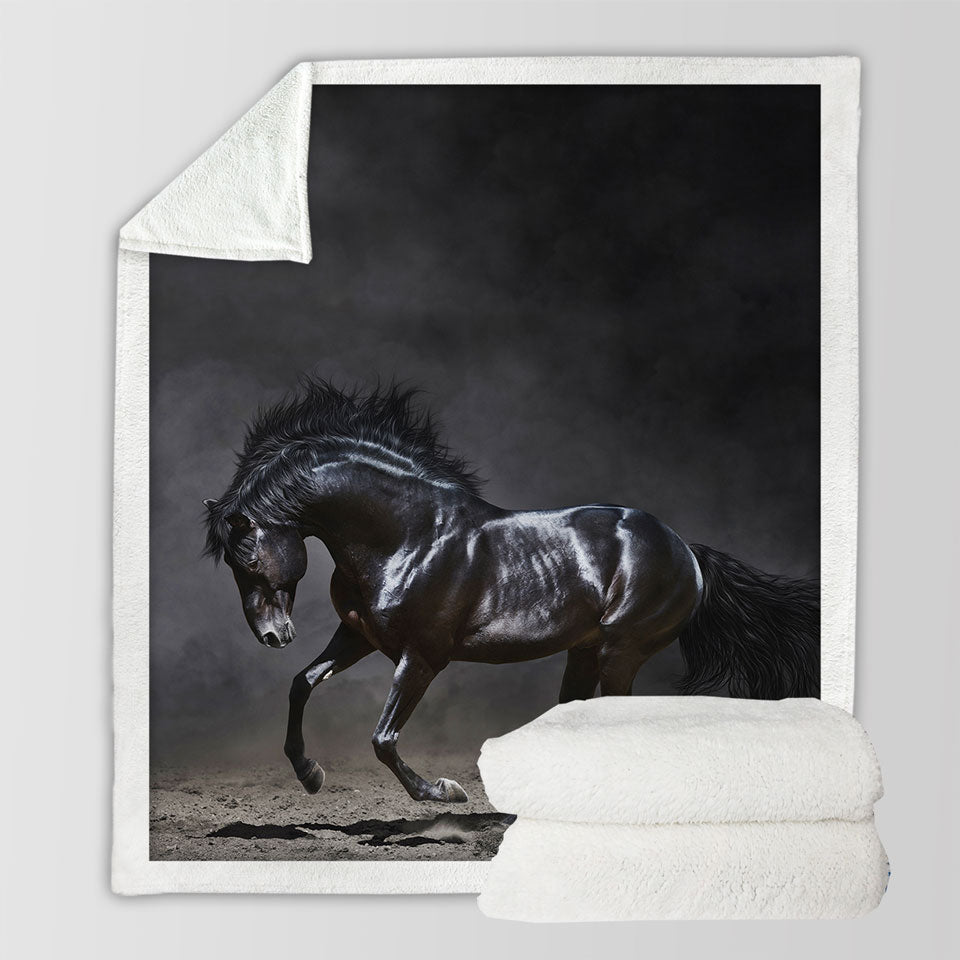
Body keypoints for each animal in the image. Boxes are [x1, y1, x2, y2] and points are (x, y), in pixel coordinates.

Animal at [203, 379, 819, 803]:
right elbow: (302, 684)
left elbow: (383, 738)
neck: (407, 535)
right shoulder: (357, 637)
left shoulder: (422, 657)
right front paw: (310, 775)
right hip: (585, 651)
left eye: (248, 554)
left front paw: (443, 792)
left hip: (621, 649)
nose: (272, 635)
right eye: (230, 564)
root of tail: (685, 549)